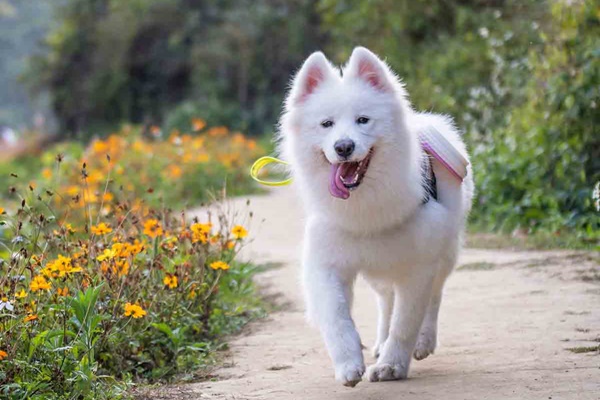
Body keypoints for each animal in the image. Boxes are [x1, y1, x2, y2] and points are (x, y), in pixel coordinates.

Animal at [278, 47, 474, 388]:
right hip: (380, 273)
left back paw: (423, 342)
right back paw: (381, 344)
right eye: (326, 124)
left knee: (433, 298)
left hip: (443, 254)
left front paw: (393, 366)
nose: (344, 146)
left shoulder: (418, 268)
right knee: (386, 303)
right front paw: (348, 364)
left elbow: (406, 322)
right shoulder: (327, 263)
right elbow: (337, 318)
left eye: (363, 120)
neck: (366, 209)